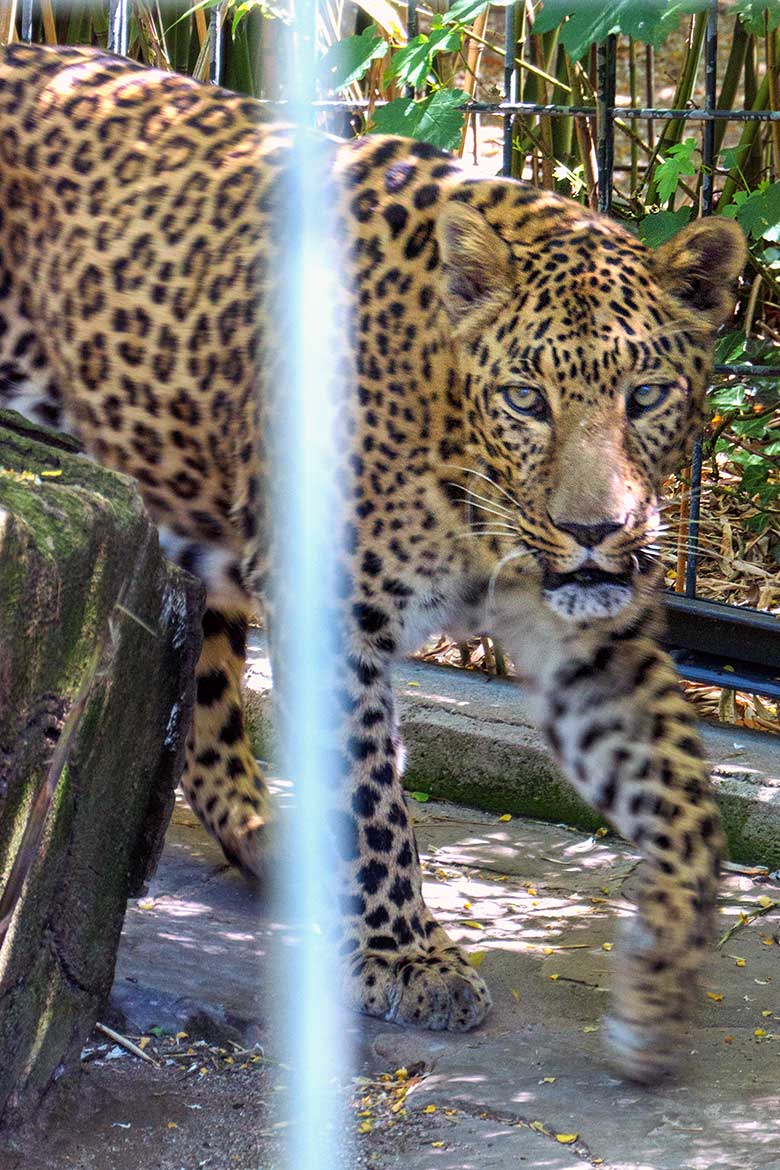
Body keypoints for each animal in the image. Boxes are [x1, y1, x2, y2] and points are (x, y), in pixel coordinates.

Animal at [0, 41, 748, 1081]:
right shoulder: (332, 614)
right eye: (526, 398)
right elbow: (371, 793)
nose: (596, 531)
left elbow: (683, 793)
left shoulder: (589, 638)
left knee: (211, 702)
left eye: (644, 395)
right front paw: (408, 957)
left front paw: (659, 982)